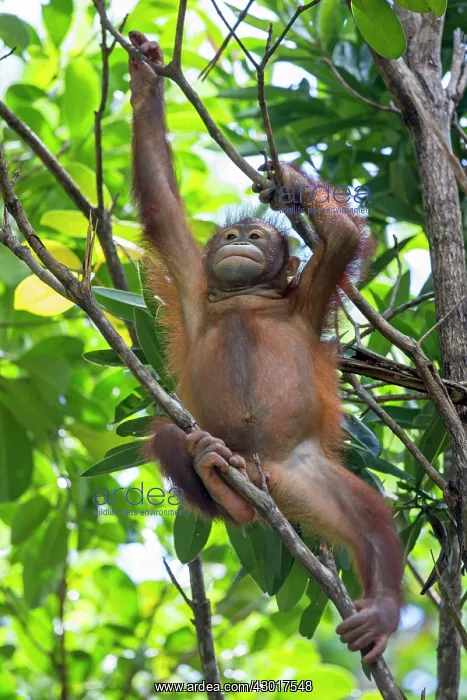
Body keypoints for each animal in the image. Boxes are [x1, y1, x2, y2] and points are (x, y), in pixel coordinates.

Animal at [128, 30, 402, 663]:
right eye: (229, 235)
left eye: (256, 236)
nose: (239, 242)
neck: (246, 300)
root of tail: (268, 477)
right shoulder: (193, 282)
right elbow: (161, 203)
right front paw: (146, 79)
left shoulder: (310, 295)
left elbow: (341, 238)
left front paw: (288, 178)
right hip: (237, 457)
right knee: (170, 437)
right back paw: (219, 484)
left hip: (310, 475)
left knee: (372, 517)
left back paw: (381, 608)